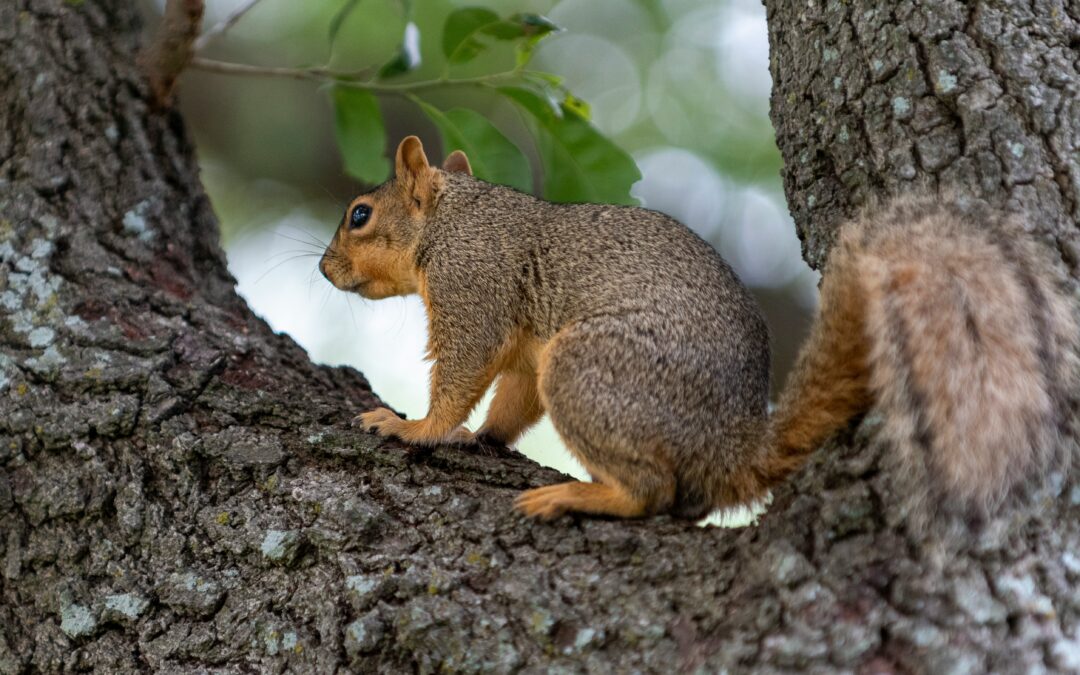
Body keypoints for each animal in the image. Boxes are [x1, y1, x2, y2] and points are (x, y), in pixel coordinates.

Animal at [319, 136, 1079, 523]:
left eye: (359, 214)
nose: (324, 268)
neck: (453, 220)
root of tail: (731, 445)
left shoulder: (474, 285)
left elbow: (459, 371)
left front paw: (413, 426)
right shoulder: (525, 351)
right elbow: (512, 399)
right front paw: (484, 437)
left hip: (587, 369)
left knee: (652, 493)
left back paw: (576, 494)